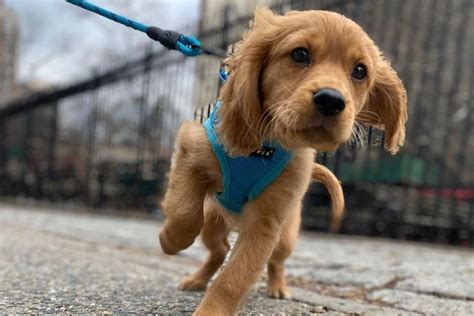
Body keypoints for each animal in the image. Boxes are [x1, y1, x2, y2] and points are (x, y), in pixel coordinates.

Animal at [159, 7, 408, 316]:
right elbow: (184, 211)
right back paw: (196, 279)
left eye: (360, 71)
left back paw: (277, 287)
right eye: (300, 54)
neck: (265, 146)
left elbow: (234, 278)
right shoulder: (190, 147)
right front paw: (170, 240)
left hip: (286, 236)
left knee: (273, 261)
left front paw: (211, 311)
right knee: (219, 249)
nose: (331, 101)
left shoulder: (265, 224)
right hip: (213, 224)